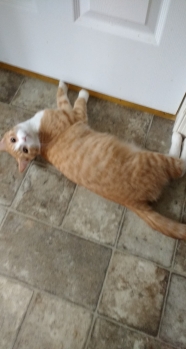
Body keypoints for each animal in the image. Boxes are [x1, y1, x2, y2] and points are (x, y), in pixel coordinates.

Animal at [0, 81, 186, 239]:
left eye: (19, 146)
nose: (23, 140)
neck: (39, 136)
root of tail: (132, 201)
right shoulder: (75, 115)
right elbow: (69, 99)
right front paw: (77, 89)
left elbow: (64, 98)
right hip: (153, 159)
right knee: (180, 166)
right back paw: (179, 137)